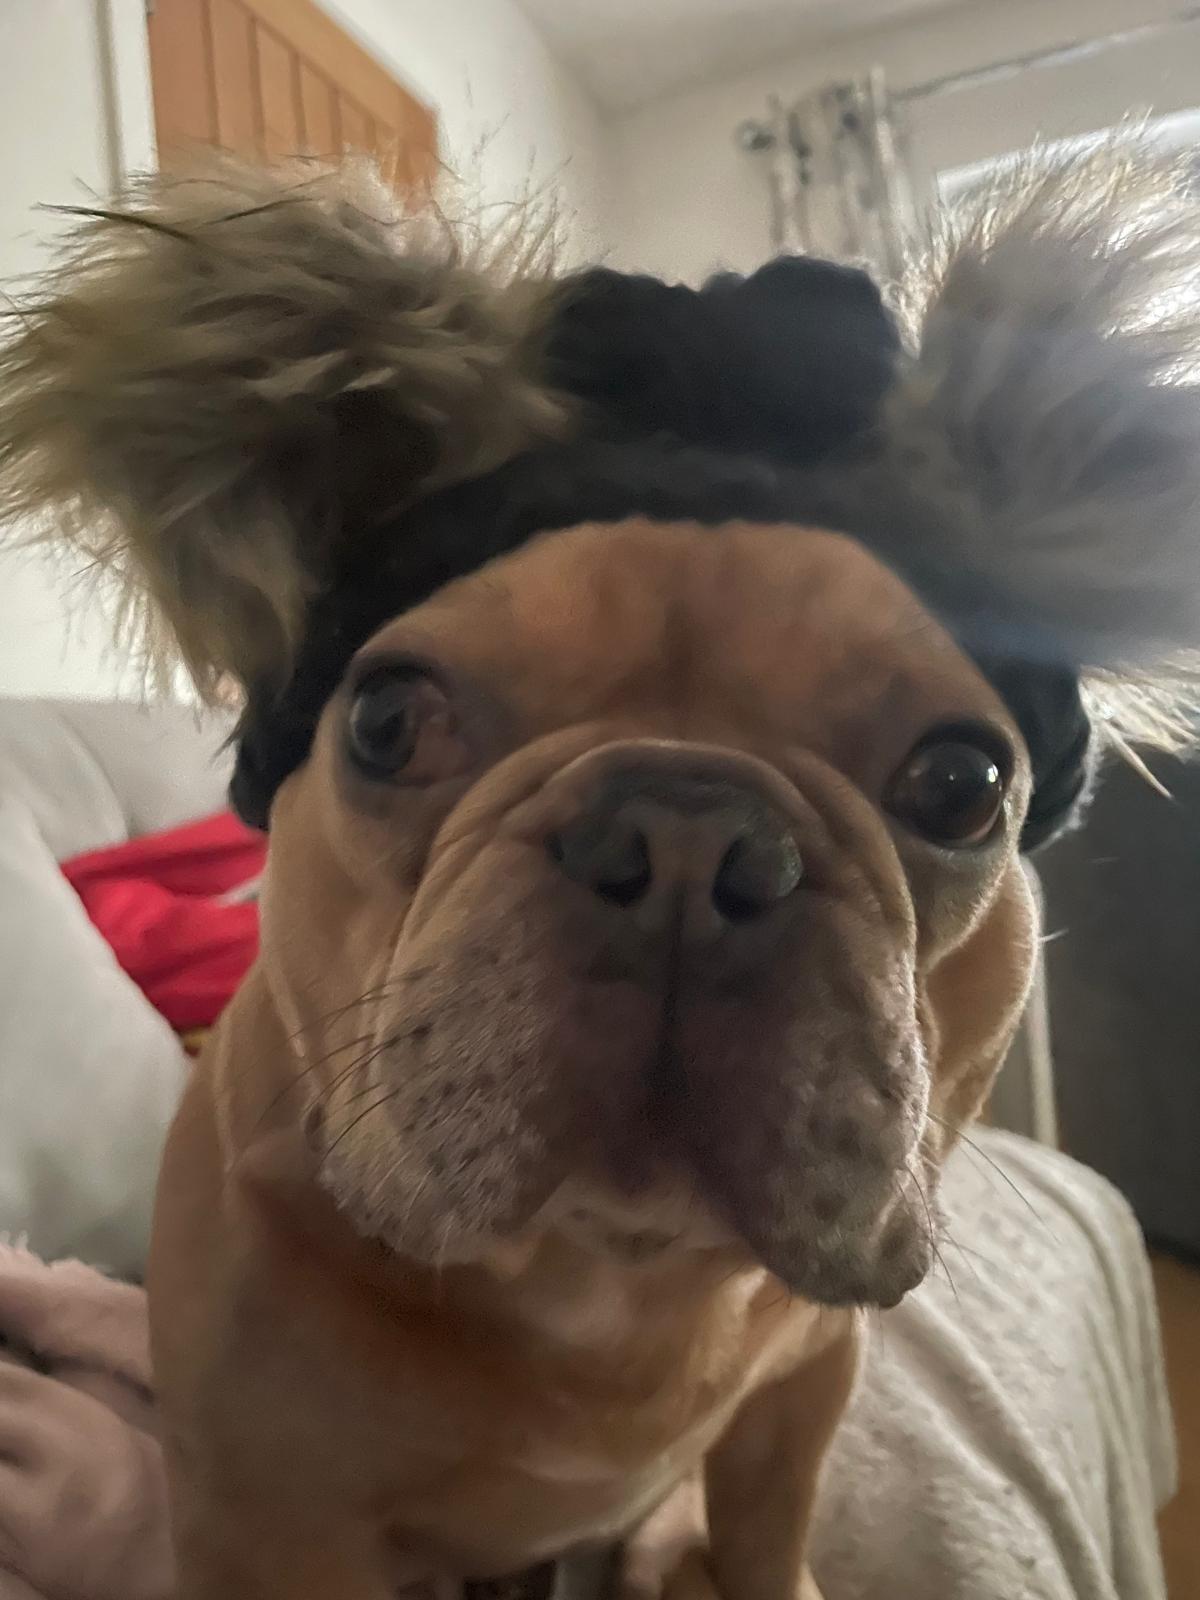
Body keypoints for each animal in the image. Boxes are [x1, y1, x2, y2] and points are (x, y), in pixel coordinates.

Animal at [1, 141, 1197, 1600]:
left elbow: (765, 1538)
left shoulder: (801, 1399)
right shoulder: (266, 1512)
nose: (688, 836)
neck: (609, 1289)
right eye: (385, 721)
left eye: (963, 784)